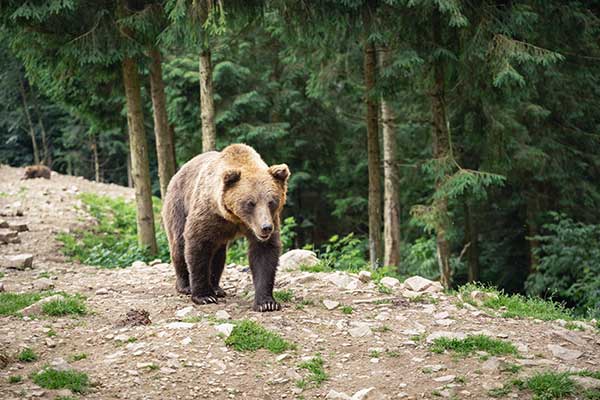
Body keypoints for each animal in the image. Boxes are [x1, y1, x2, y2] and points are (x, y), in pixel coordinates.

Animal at [162, 142, 288, 310]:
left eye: (271, 201)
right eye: (250, 203)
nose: (266, 227)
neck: (235, 219)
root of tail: (178, 171)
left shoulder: (267, 221)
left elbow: (264, 253)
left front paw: (266, 303)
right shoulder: (208, 214)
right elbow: (197, 245)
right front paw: (204, 296)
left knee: (218, 255)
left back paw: (217, 288)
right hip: (178, 204)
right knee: (179, 245)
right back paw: (185, 286)